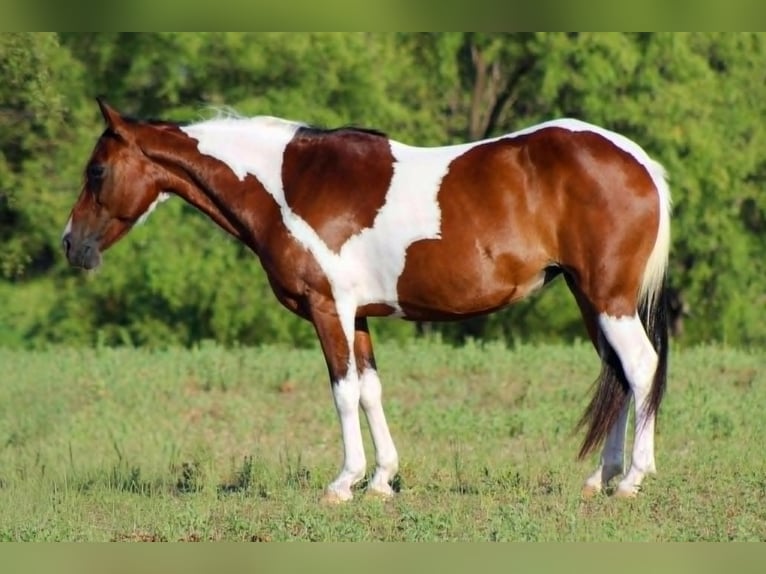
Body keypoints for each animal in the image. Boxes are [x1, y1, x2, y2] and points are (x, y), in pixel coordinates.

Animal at [62, 98, 671, 502]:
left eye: (97, 170)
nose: (71, 244)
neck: (288, 185)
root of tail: (639, 161)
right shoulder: (358, 318)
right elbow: (372, 391)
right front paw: (381, 480)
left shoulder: (328, 309)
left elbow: (343, 392)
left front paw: (343, 481)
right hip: (589, 298)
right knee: (618, 373)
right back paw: (600, 478)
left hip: (608, 299)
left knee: (641, 367)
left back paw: (632, 479)